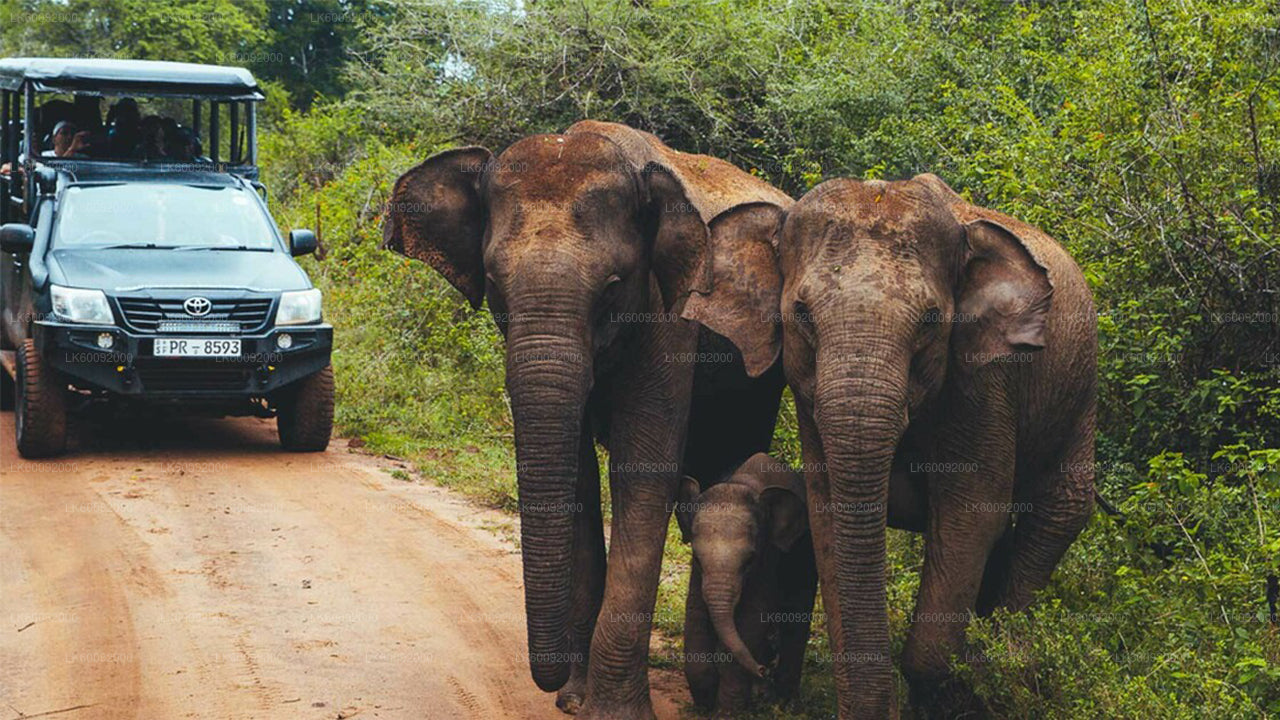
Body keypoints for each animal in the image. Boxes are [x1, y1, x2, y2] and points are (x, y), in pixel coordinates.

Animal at [384, 120, 793, 712]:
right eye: (494, 286)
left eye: (612, 288)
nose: (551, 684)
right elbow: (576, 476)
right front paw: (575, 700)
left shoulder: (669, 316)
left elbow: (642, 475)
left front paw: (610, 711)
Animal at [675, 448, 814, 712]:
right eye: (696, 558)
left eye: (749, 561)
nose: (762, 670)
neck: (742, 483)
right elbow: (695, 613)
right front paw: (706, 706)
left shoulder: (768, 557)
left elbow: (752, 618)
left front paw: (729, 710)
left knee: (796, 614)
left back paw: (784, 702)